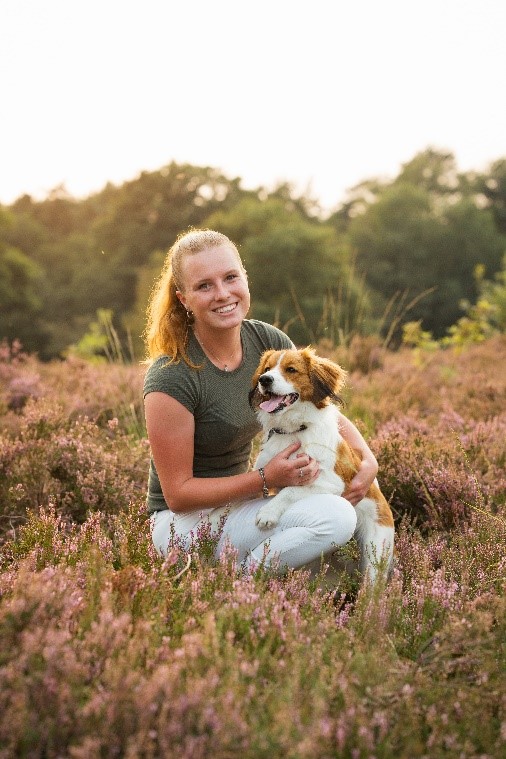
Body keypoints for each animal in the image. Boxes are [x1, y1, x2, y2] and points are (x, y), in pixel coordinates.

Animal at [249, 348, 396, 584]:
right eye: (267, 369)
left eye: (291, 370)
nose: (265, 380)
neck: (293, 430)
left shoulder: (331, 483)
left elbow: (290, 489)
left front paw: (268, 512)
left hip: (375, 560)